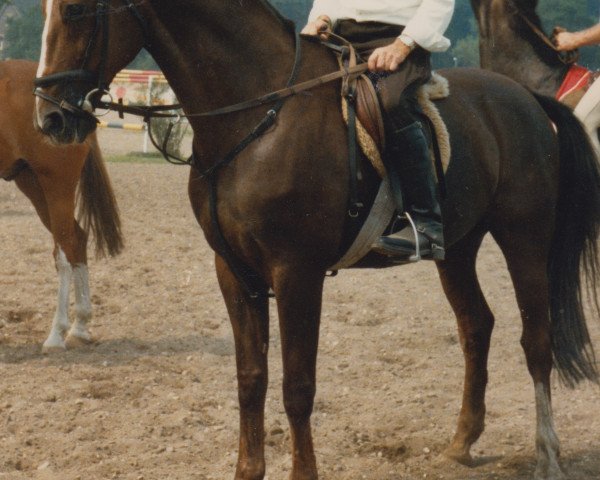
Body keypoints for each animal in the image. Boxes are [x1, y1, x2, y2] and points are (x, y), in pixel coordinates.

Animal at [0, 59, 123, 352]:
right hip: (32, 183)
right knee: (77, 239)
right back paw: (80, 328)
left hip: (56, 185)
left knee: (64, 250)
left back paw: (57, 333)